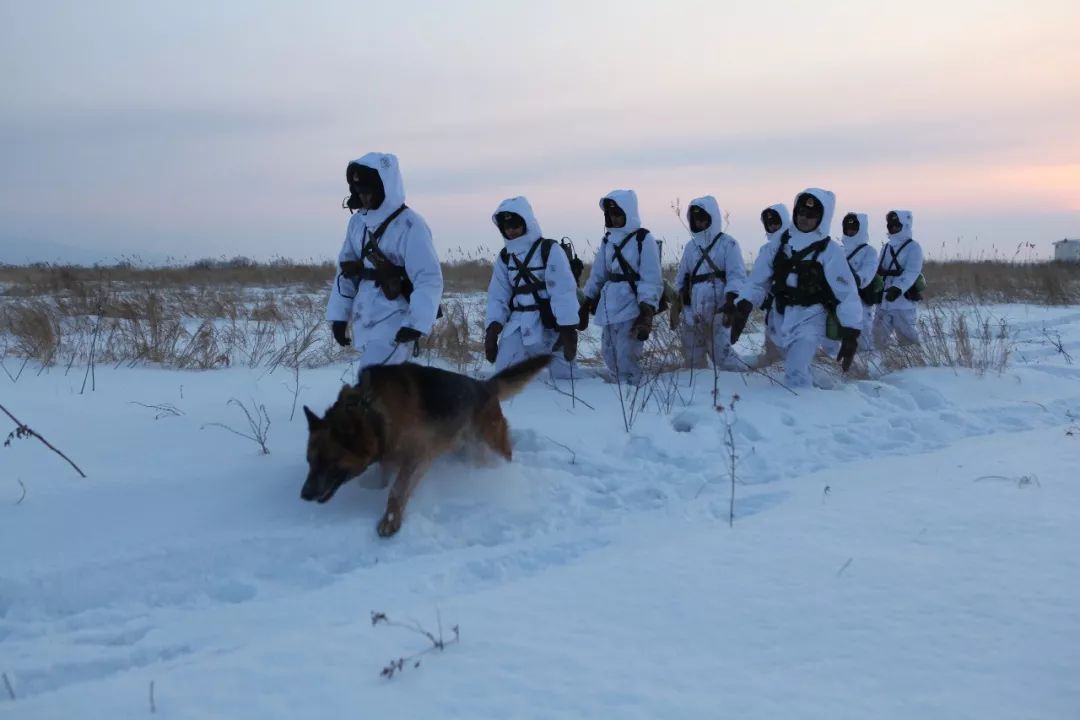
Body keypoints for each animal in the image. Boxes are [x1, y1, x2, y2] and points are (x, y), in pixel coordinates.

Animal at [302, 358, 548, 537]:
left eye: (330, 461)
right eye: (310, 461)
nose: (304, 495)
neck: (373, 412)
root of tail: (484, 386)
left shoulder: (417, 457)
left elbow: (397, 491)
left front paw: (390, 520)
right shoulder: (389, 457)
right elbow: (385, 479)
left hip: (490, 445)